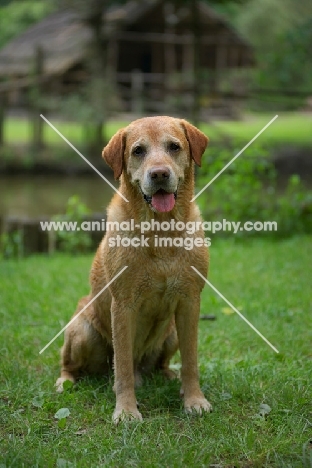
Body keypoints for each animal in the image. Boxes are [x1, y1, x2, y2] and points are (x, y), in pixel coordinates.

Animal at [56, 116, 212, 420]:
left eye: (174, 147)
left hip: (171, 333)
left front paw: (194, 399)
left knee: (160, 363)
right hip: (82, 331)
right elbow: (123, 366)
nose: (160, 174)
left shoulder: (190, 302)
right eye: (138, 151)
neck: (161, 232)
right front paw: (126, 410)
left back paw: (169, 377)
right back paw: (65, 381)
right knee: (73, 364)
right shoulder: (123, 305)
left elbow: (191, 361)